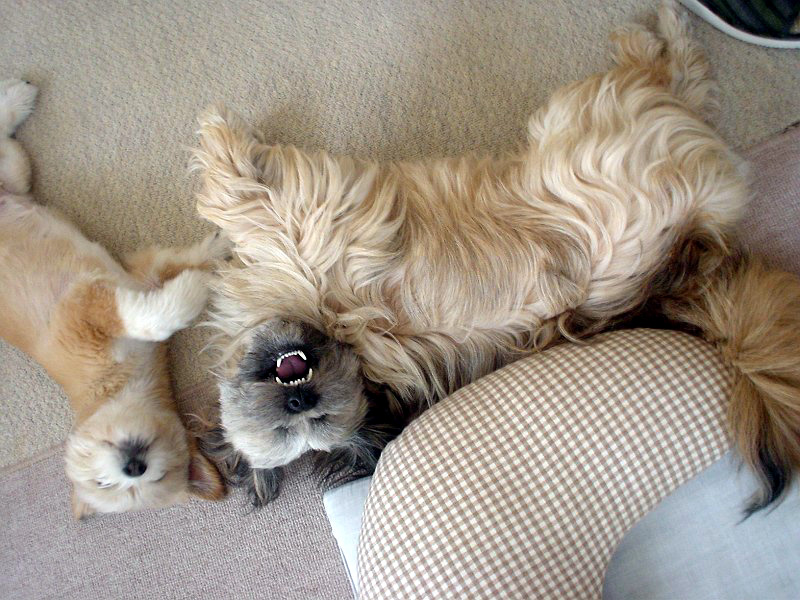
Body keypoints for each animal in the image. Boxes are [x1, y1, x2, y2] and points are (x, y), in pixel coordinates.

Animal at [0, 79, 227, 518]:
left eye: (150, 477)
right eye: (108, 484)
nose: (134, 466)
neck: (116, 382)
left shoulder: (114, 290)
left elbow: (179, 267)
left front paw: (217, 249)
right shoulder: (104, 297)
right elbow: (156, 313)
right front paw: (199, 284)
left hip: (13, 175)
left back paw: (17, 96)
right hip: (15, 173)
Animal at [192, 1, 800, 513]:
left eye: (309, 415)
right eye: (293, 429)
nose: (301, 397)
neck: (341, 336)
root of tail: (686, 249)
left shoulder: (315, 221)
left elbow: (237, 192)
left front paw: (218, 137)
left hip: (590, 120)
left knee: (667, 69)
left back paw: (656, 25)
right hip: (615, 129)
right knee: (684, 79)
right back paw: (663, 30)